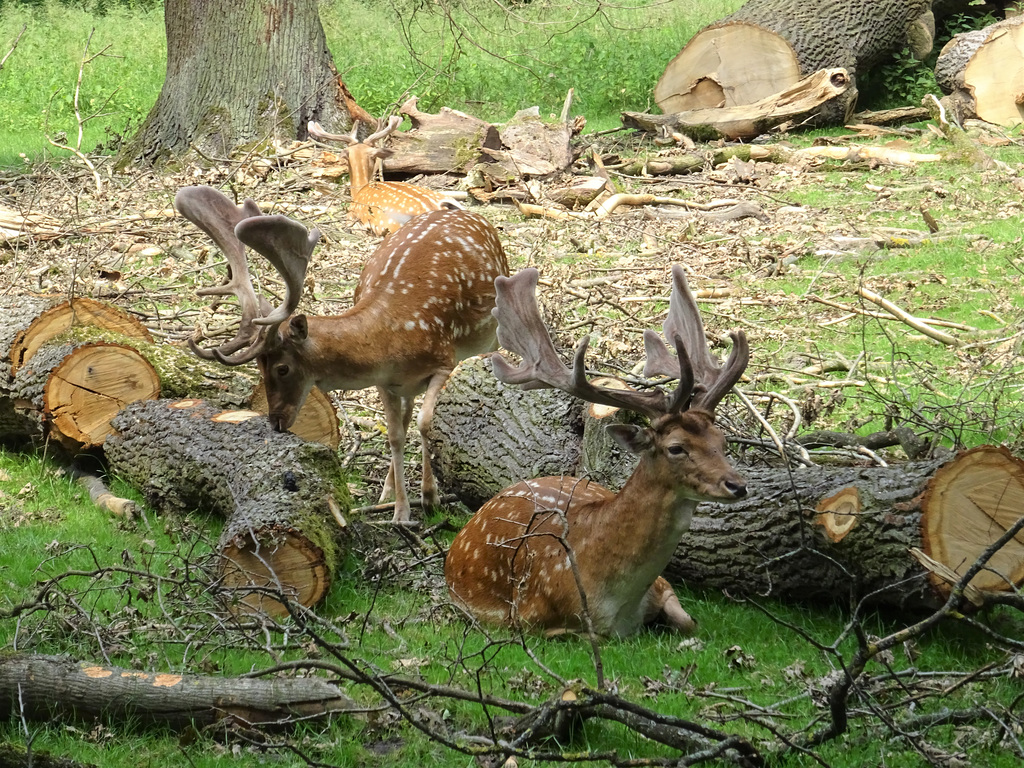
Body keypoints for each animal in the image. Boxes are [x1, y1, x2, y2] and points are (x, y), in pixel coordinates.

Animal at [179, 185, 512, 524]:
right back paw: (386, 490)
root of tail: (468, 213)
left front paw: (430, 498)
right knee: (405, 417)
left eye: (282, 368)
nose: (276, 422)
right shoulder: (386, 382)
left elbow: (425, 423)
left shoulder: (443, 359)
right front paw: (400, 511)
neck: (391, 338)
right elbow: (395, 434)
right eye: (259, 368)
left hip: (491, 332)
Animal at [444, 266, 749, 638]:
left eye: (722, 442)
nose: (737, 485)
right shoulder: (532, 619)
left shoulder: (665, 587)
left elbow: (689, 622)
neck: (617, 604)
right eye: (676, 447)